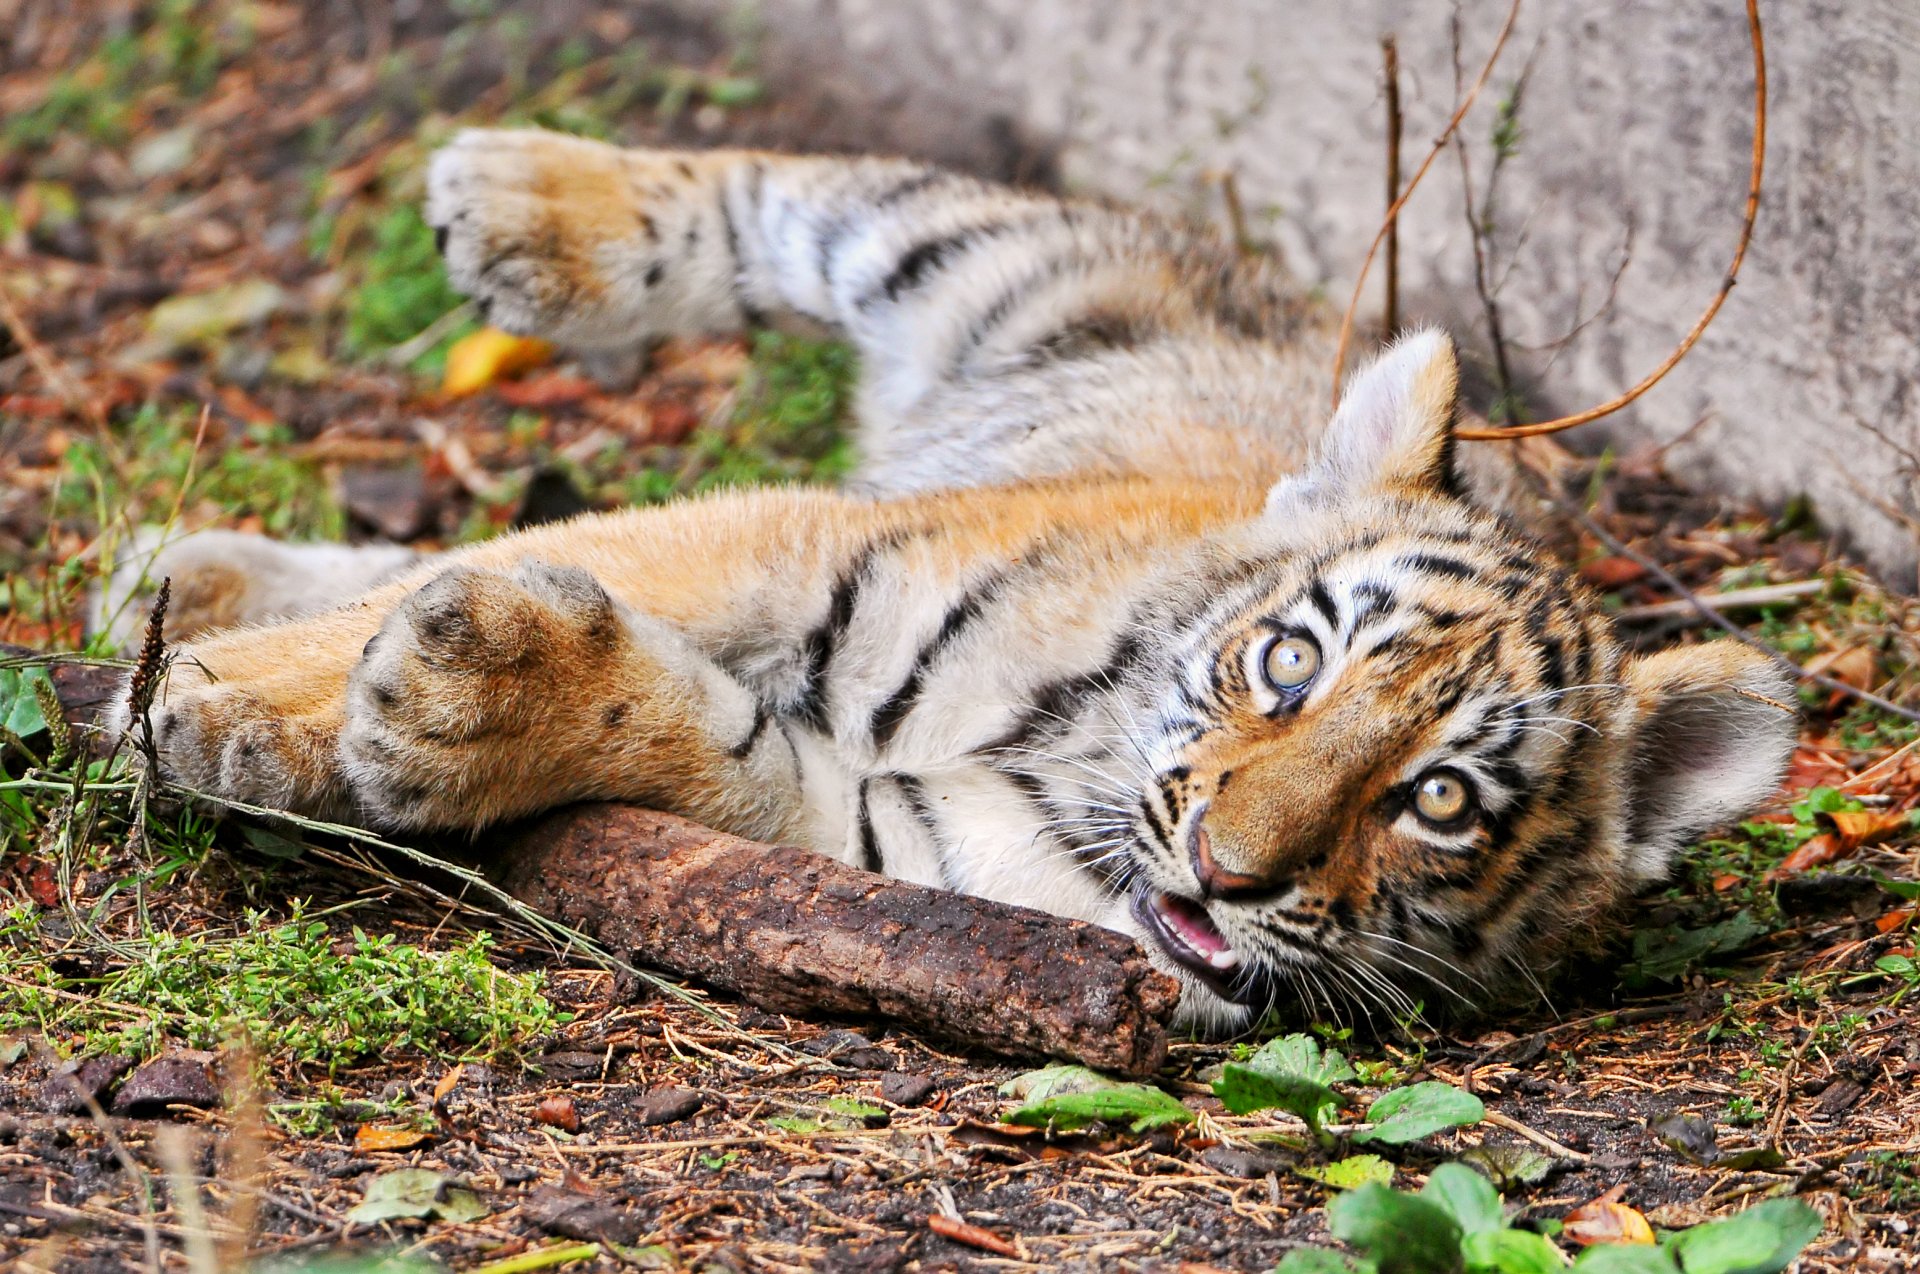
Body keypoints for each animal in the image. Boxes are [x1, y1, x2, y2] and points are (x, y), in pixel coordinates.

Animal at [105, 128, 1797, 1035]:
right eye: (1292, 663)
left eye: (1440, 800)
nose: (1227, 872)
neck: (1069, 759)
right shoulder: (791, 538)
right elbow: (537, 553)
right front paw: (242, 702)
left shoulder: (868, 838)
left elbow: (685, 730)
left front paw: (451, 703)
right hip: (990, 263)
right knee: (796, 195)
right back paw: (524, 202)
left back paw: (178, 581)